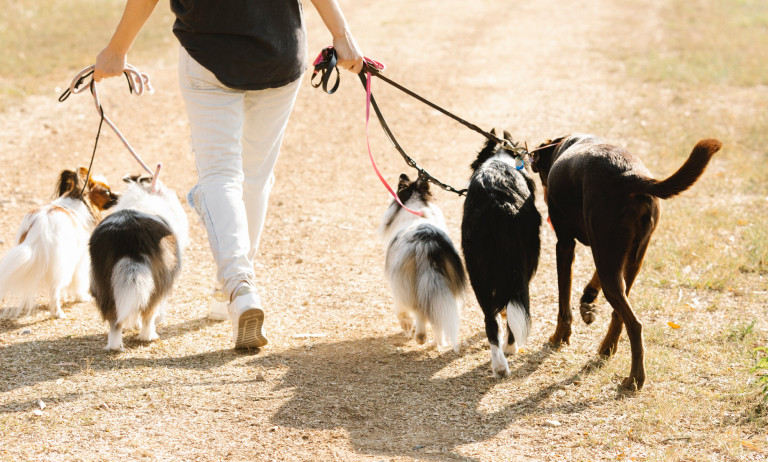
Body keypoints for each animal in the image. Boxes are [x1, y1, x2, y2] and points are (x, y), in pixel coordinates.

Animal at [0, 168, 118, 320]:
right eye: (107, 192)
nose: (119, 195)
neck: (79, 201)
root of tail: (39, 228)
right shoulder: (80, 259)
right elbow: (79, 280)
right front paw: (81, 297)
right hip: (63, 263)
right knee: (54, 288)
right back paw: (57, 312)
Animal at [87, 175, 188, 352]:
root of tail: (128, 235)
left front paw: (132, 325)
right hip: (159, 280)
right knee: (149, 312)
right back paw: (149, 336)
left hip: (103, 282)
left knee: (114, 319)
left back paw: (115, 345)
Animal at [380, 172, 468, 350]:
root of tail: (427, 243)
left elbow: (403, 313)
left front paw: (408, 327)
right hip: (447, 288)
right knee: (438, 316)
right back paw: (437, 342)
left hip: (405, 284)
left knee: (418, 310)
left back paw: (420, 336)